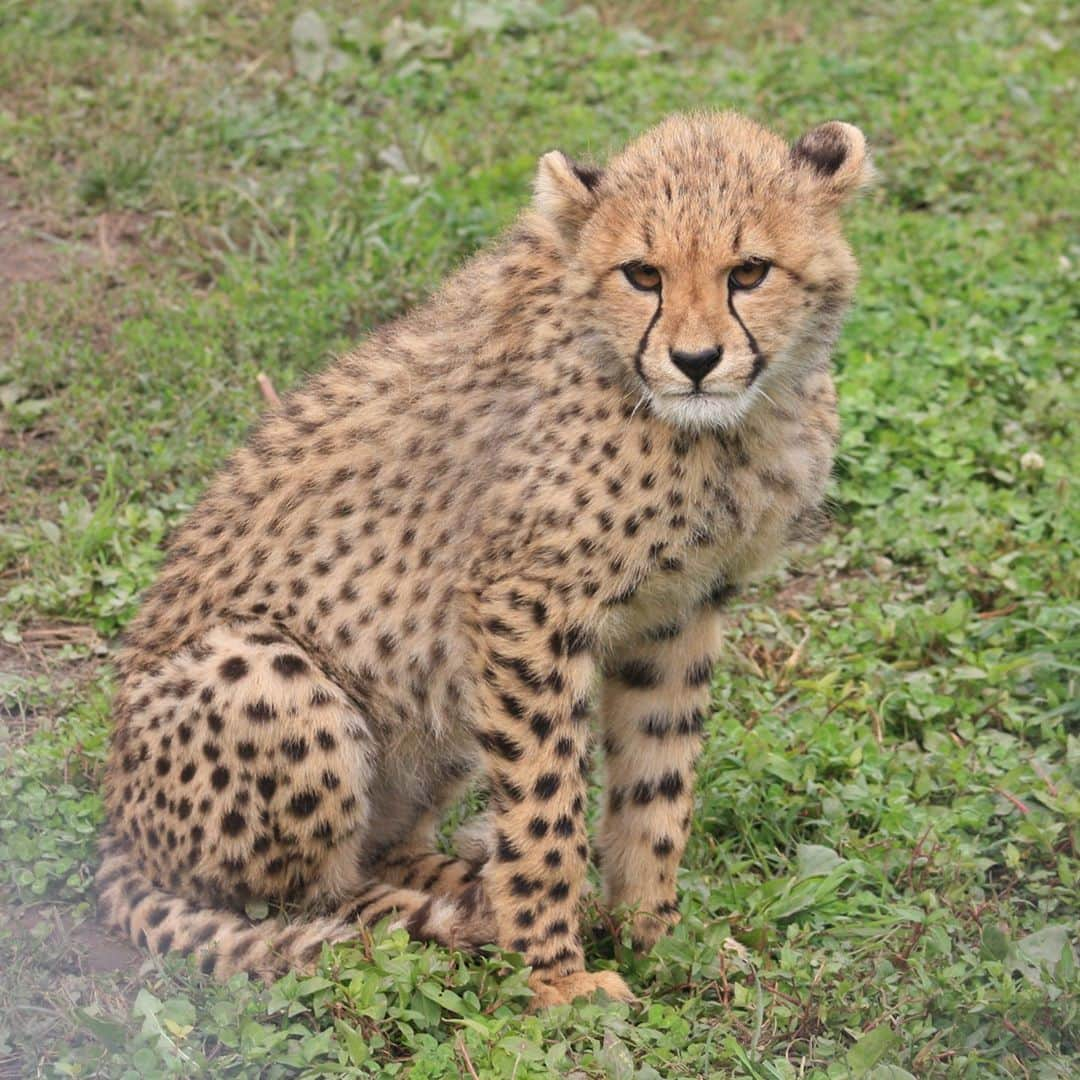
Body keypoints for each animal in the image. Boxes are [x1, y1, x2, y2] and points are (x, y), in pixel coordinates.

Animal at [99, 113, 868, 1006]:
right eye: (642, 273)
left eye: (749, 271)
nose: (696, 361)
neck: (725, 427)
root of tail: (114, 823)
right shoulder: (524, 603)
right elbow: (546, 804)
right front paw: (557, 977)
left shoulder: (676, 610)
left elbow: (658, 784)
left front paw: (659, 934)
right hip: (266, 672)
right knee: (301, 897)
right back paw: (463, 913)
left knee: (382, 852)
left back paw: (466, 881)